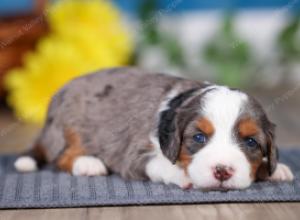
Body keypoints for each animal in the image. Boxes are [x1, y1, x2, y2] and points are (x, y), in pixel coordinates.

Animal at [14, 68, 292, 190]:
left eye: (251, 142)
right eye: (199, 137)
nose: (223, 171)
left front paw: (276, 169)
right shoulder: (135, 155)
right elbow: (160, 164)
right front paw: (182, 175)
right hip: (68, 127)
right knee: (62, 156)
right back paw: (89, 163)